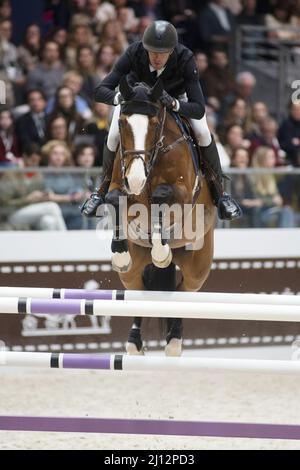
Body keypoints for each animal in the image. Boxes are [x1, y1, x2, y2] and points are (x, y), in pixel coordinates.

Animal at [105, 77, 216, 356]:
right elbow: (113, 198)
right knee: (141, 292)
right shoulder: (121, 186)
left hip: (198, 266)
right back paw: (134, 343)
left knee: (182, 292)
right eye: (122, 123)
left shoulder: (184, 193)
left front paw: (160, 251)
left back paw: (174, 341)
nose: (135, 179)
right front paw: (119, 252)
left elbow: (160, 196)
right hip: (133, 271)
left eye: (155, 124)